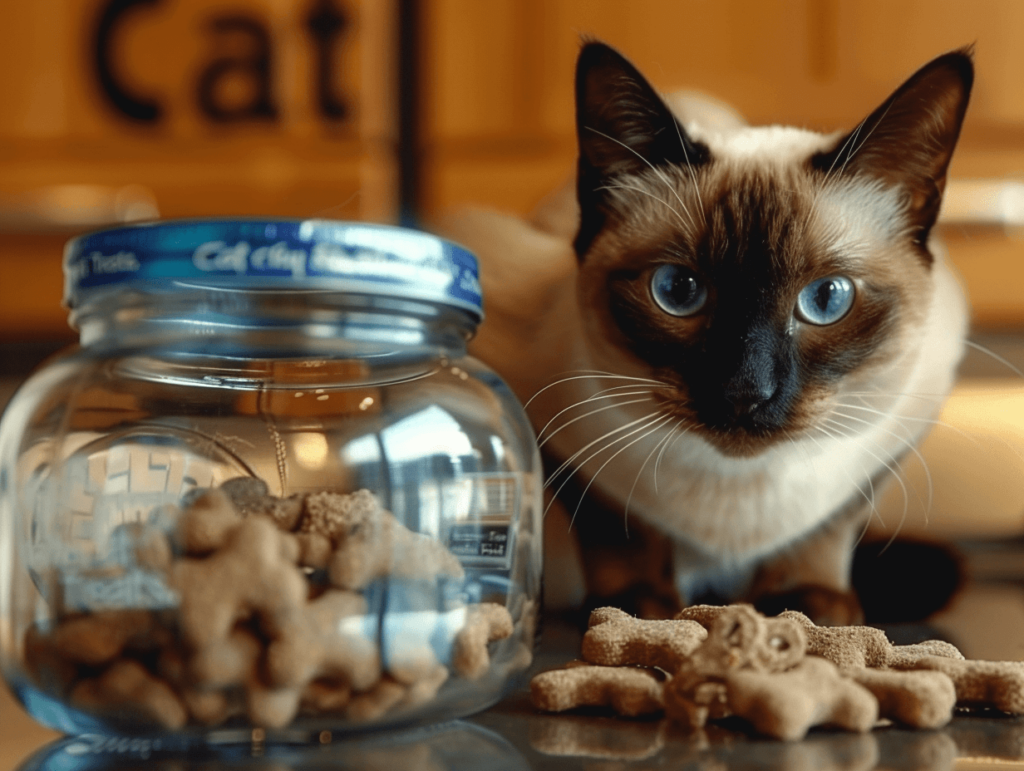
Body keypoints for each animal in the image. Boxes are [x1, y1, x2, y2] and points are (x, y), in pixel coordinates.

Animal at [438, 41, 966, 622]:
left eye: (827, 299)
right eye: (678, 290)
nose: (745, 392)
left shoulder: (906, 416)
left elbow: (827, 528)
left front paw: (805, 603)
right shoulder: (546, 429)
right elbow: (618, 523)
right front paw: (638, 608)